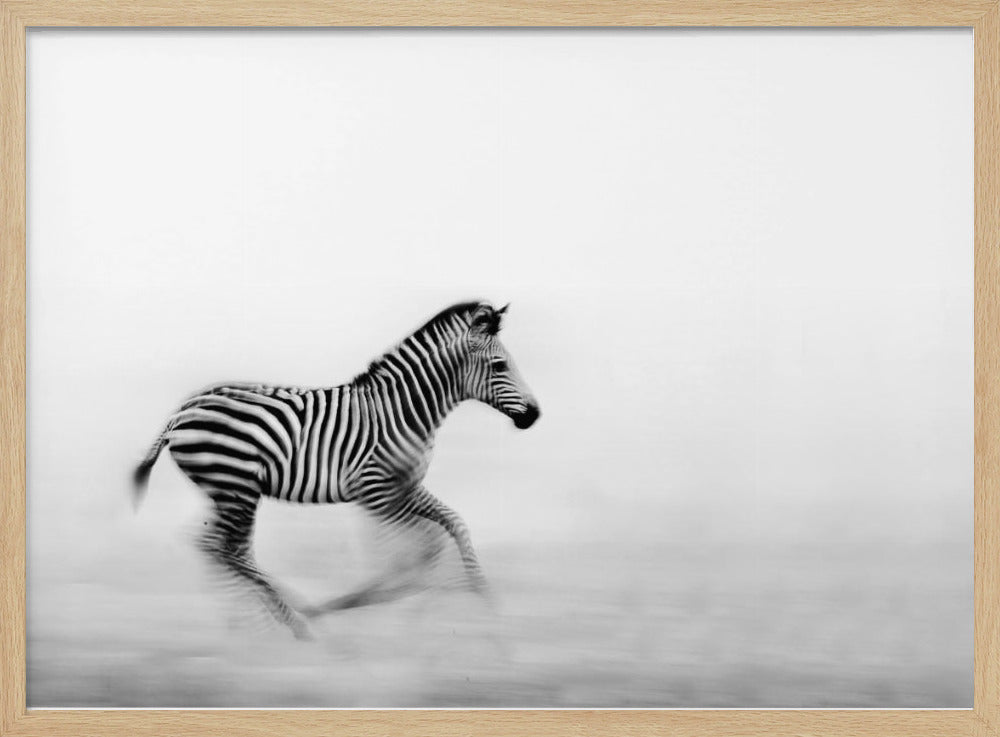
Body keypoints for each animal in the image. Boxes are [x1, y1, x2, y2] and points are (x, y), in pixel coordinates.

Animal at [132, 301, 540, 639]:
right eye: (500, 366)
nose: (534, 415)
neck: (405, 411)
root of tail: (182, 411)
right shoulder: (377, 493)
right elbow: (411, 554)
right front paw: (378, 605)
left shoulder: (405, 488)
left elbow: (451, 528)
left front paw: (485, 601)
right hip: (237, 485)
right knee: (223, 548)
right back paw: (293, 622)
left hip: (227, 490)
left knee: (221, 547)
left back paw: (256, 624)